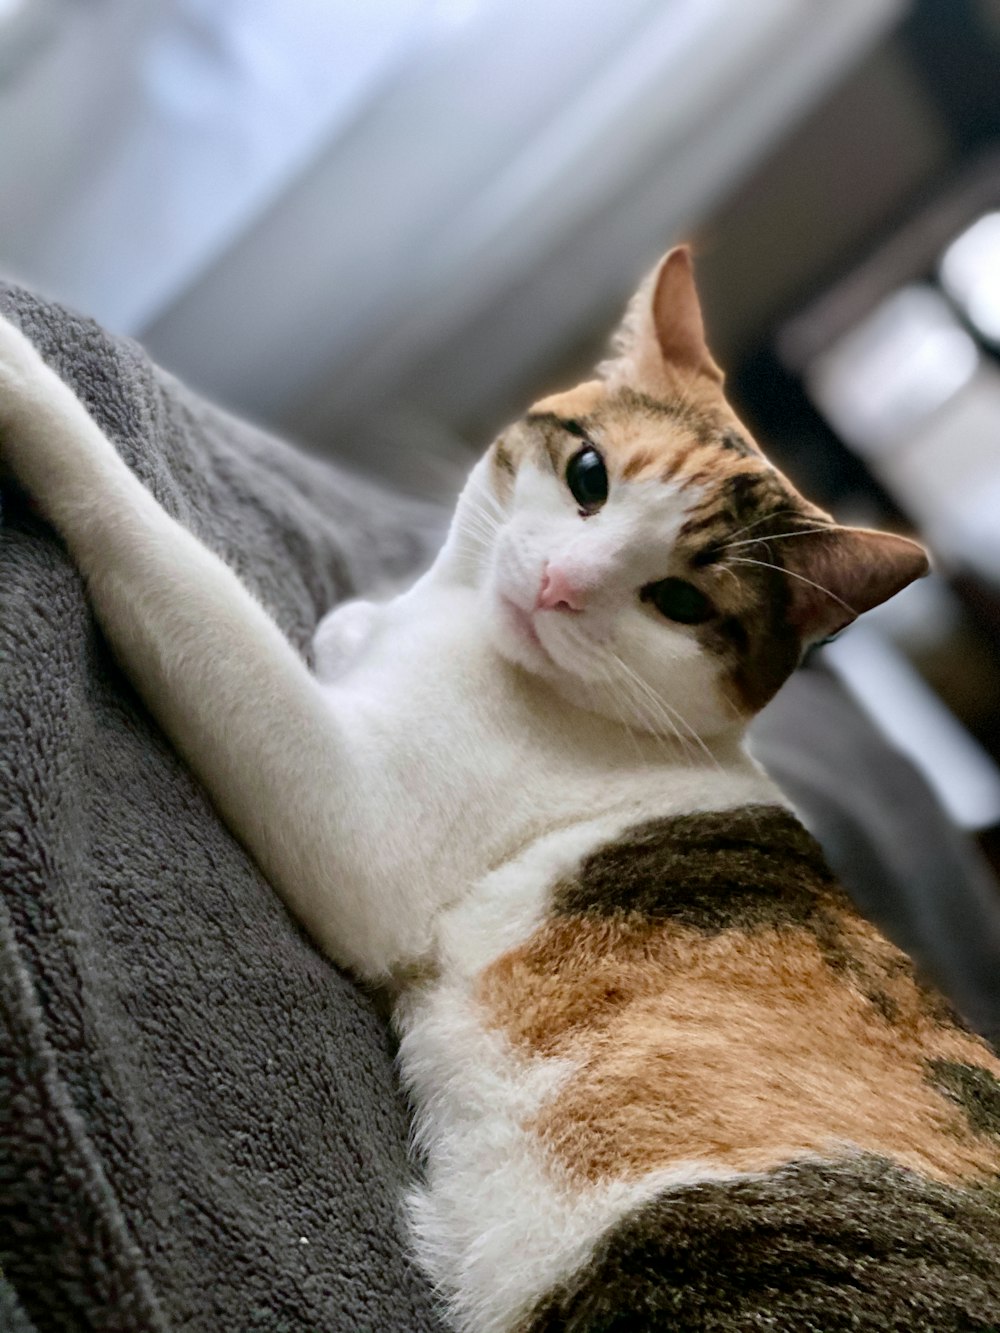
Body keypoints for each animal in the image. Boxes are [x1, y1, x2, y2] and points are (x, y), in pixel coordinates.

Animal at [0, 245, 997, 1327]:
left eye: (680, 602)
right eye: (589, 475)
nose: (560, 585)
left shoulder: (362, 823)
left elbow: (173, 561)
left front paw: (20, 373)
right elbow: (340, 630)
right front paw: (352, 627)